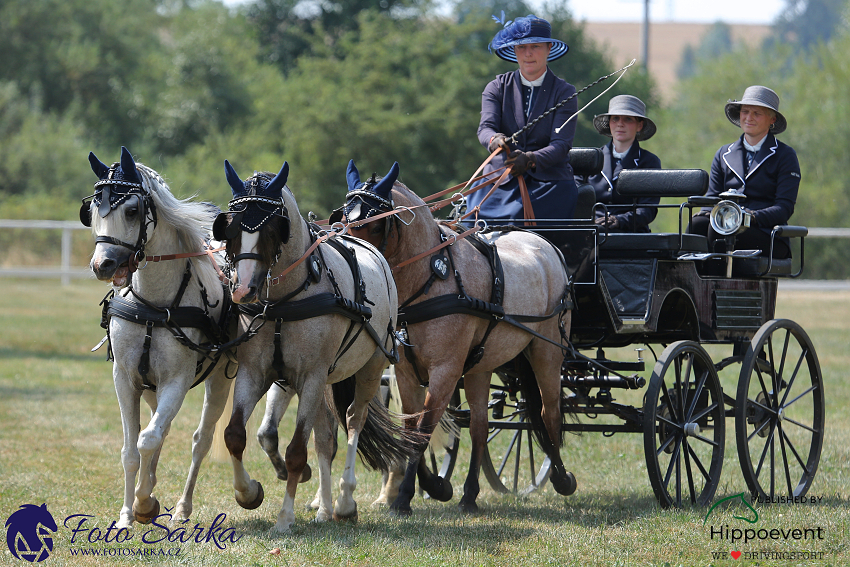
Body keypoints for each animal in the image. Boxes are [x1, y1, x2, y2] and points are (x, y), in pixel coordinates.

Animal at [83, 146, 232, 528]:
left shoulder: (176, 382)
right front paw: (126, 514)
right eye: (92, 209)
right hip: (149, 387)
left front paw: (144, 503)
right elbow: (130, 450)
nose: (102, 265)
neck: (153, 304)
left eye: (132, 210)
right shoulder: (125, 378)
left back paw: (182, 507)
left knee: (200, 439)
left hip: (222, 380)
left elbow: (147, 440)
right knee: (160, 430)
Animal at [215, 162, 420, 536]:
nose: (243, 289)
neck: (284, 302)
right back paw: (324, 508)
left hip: (369, 368)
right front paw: (248, 493)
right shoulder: (255, 373)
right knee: (325, 436)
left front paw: (285, 519)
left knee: (354, 419)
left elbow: (297, 450)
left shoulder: (310, 377)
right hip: (326, 380)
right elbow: (236, 435)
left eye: (272, 229)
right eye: (231, 227)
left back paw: (344, 502)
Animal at [334, 160, 572, 516]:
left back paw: (561, 477)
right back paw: (470, 494)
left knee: (549, 413)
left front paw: (407, 496)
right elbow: (410, 430)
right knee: (480, 426)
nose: (357, 266)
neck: (431, 276)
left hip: (547, 351)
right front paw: (433, 485)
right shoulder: (406, 372)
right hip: (480, 367)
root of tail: (545, 244)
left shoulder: (445, 371)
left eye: (376, 225)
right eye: (346, 219)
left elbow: (423, 431)